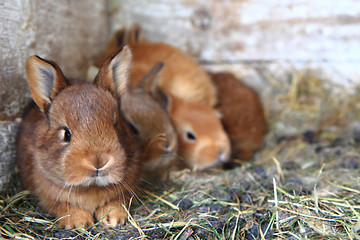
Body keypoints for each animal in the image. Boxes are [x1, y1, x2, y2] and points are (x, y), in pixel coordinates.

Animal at [17, 46, 141, 228]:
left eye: (116, 125)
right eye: (66, 134)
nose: (98, 162)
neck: (90, 188)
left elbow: (118, 200)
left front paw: (113, 218)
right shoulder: (49, 197)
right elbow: (63, 206)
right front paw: (80, 222)